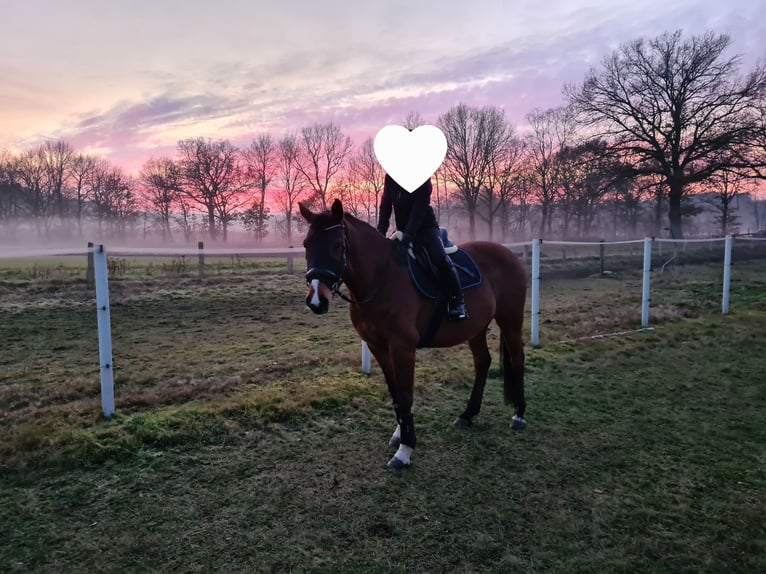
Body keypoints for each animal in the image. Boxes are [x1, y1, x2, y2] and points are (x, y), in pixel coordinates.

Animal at [299, 199, 528, 470]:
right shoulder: (378, 347)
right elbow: (396, 393)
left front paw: (405, 450)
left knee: (517, 360)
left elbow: (406, 395)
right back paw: (467, 415)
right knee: (483, 362)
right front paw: (400, 435)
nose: (316, 301)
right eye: (306, 244)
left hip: (510, 319)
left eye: (336, 245)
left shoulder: (402, 347)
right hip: (476, 327)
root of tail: (507, 253)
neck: (381, 279)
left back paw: (519, 415)